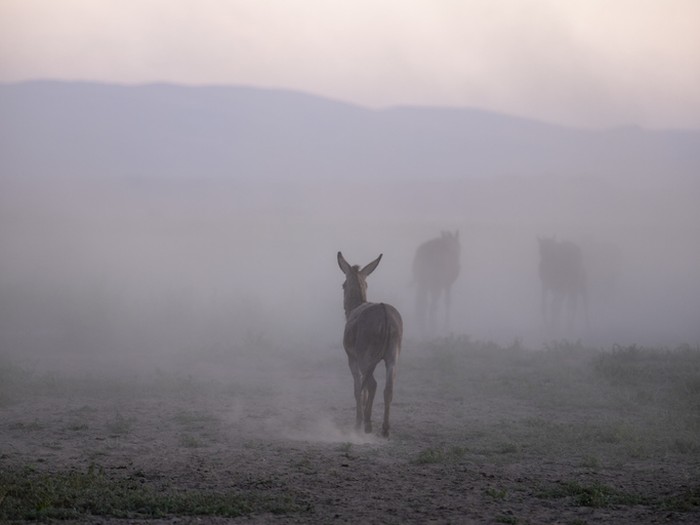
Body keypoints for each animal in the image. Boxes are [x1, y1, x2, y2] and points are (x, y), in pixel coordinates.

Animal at [336, 252, 402, 436]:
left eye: (343, 285)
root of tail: (384, 314)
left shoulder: (352, 358)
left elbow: (358, 387)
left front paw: (357, 422)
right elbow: (363, 388)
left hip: (366, 356)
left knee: (372, 384)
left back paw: (366, 424)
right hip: (393, 356)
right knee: (389, 387)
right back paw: (385, 428)